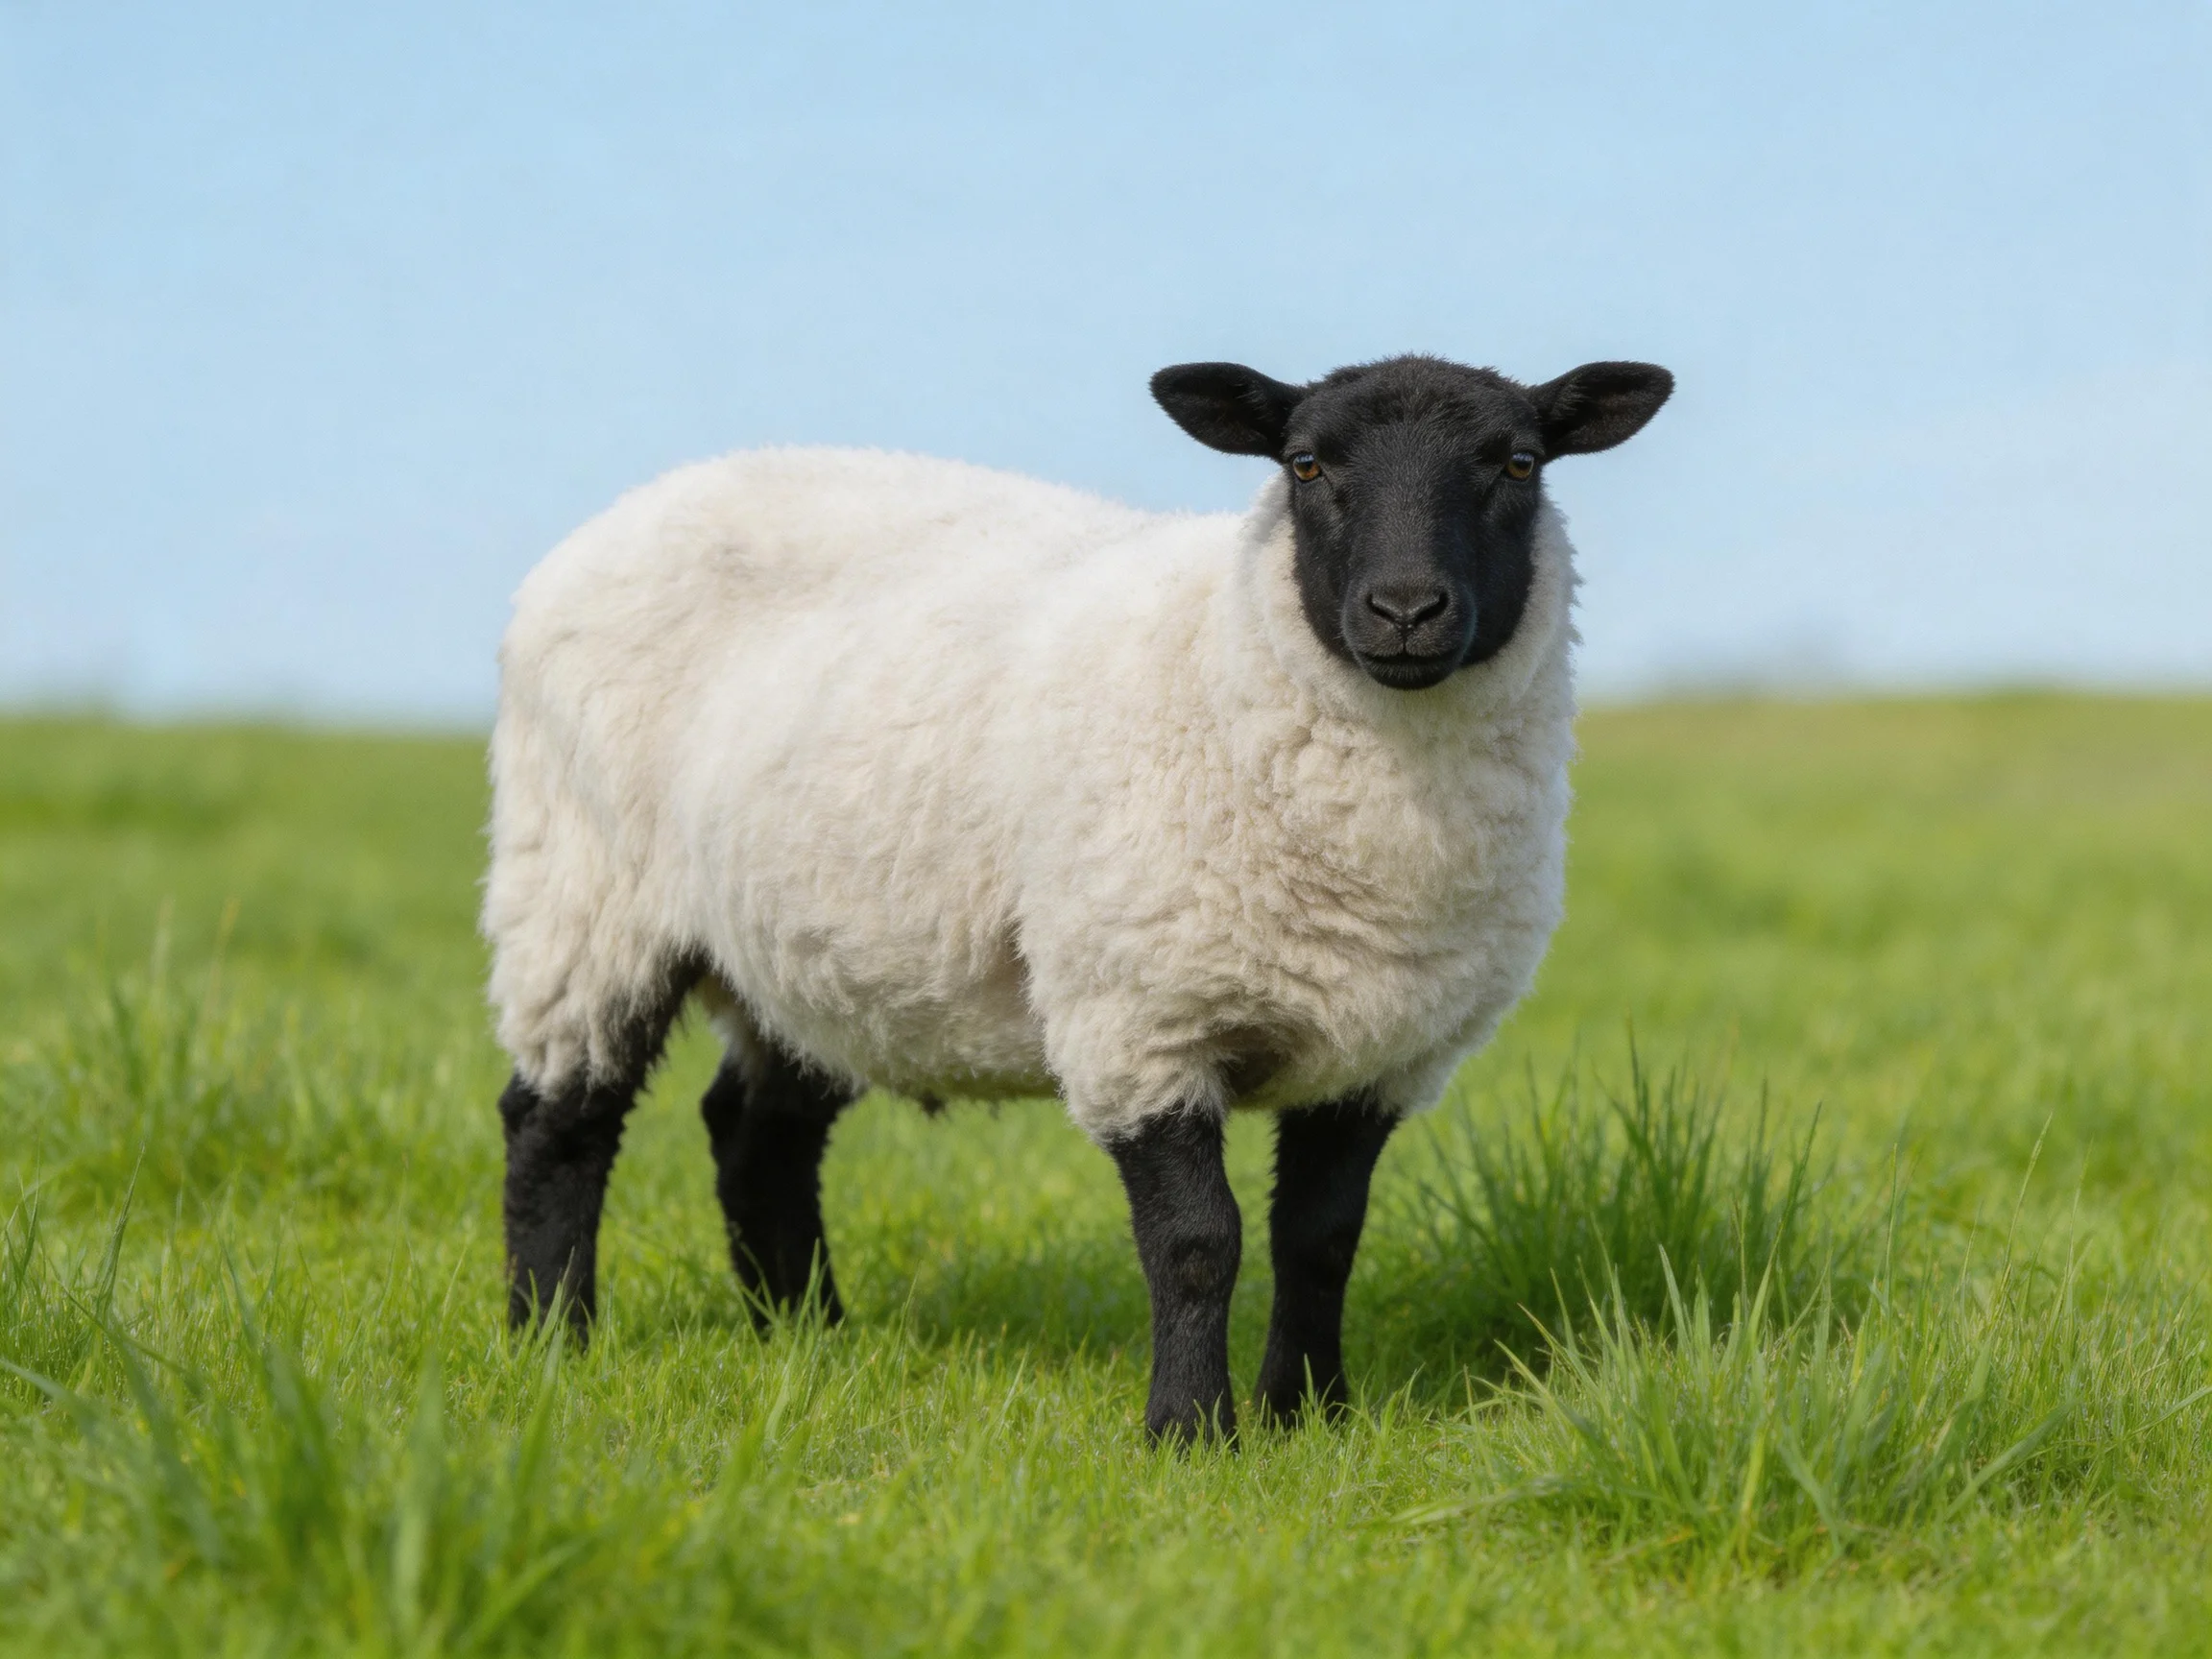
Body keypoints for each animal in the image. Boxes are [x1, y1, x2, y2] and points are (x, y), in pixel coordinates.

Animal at [484, 352, 1673, 1441]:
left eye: (1518, 463)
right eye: (1305, 464)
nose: (1407, 609)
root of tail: (626, 514)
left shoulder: (1380, 1053)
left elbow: (1322, 1240)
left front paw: (1311, 1418)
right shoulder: (1140, 1016)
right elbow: (1197, 1243)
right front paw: (1192, 1433)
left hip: (814, 944)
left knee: (755, 1134)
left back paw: (807, 1335)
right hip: (582, 889)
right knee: (558, 1122)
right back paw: (552, 1340)